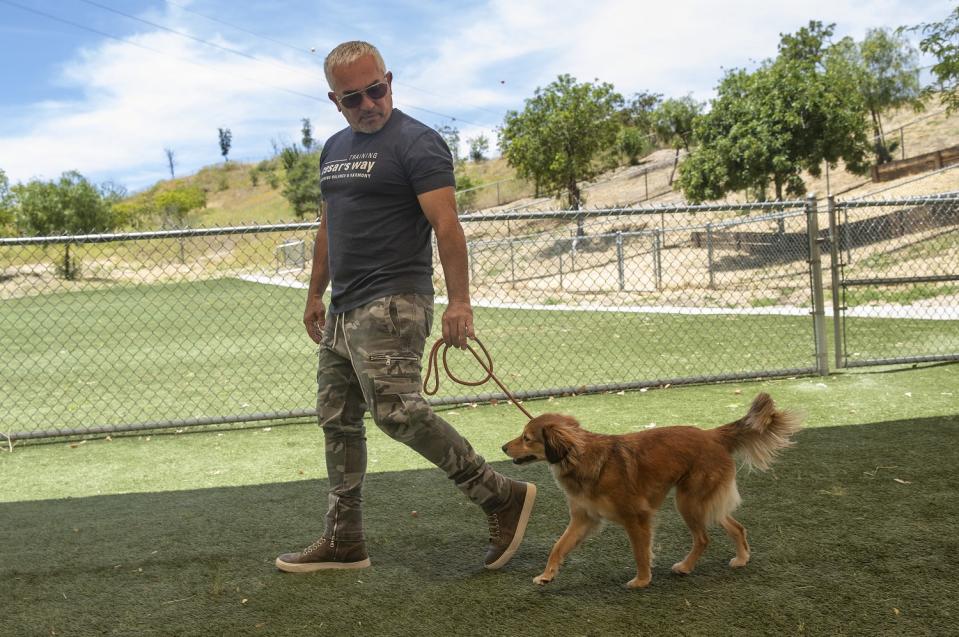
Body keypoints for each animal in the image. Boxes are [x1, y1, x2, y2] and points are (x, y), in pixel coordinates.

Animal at [502, 390, 804, 588]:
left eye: (527, 438)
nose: (502, 447)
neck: (580, 457)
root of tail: (712, 434)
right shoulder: (583, 519)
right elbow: (558, 546)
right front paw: (547, 575)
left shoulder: (636, 517)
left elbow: (640, 552)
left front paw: (641, 580)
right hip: (703, 502)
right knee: (736, 527)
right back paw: (741, 559)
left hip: (688, 500)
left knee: (703, 538)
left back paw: (686, 566)